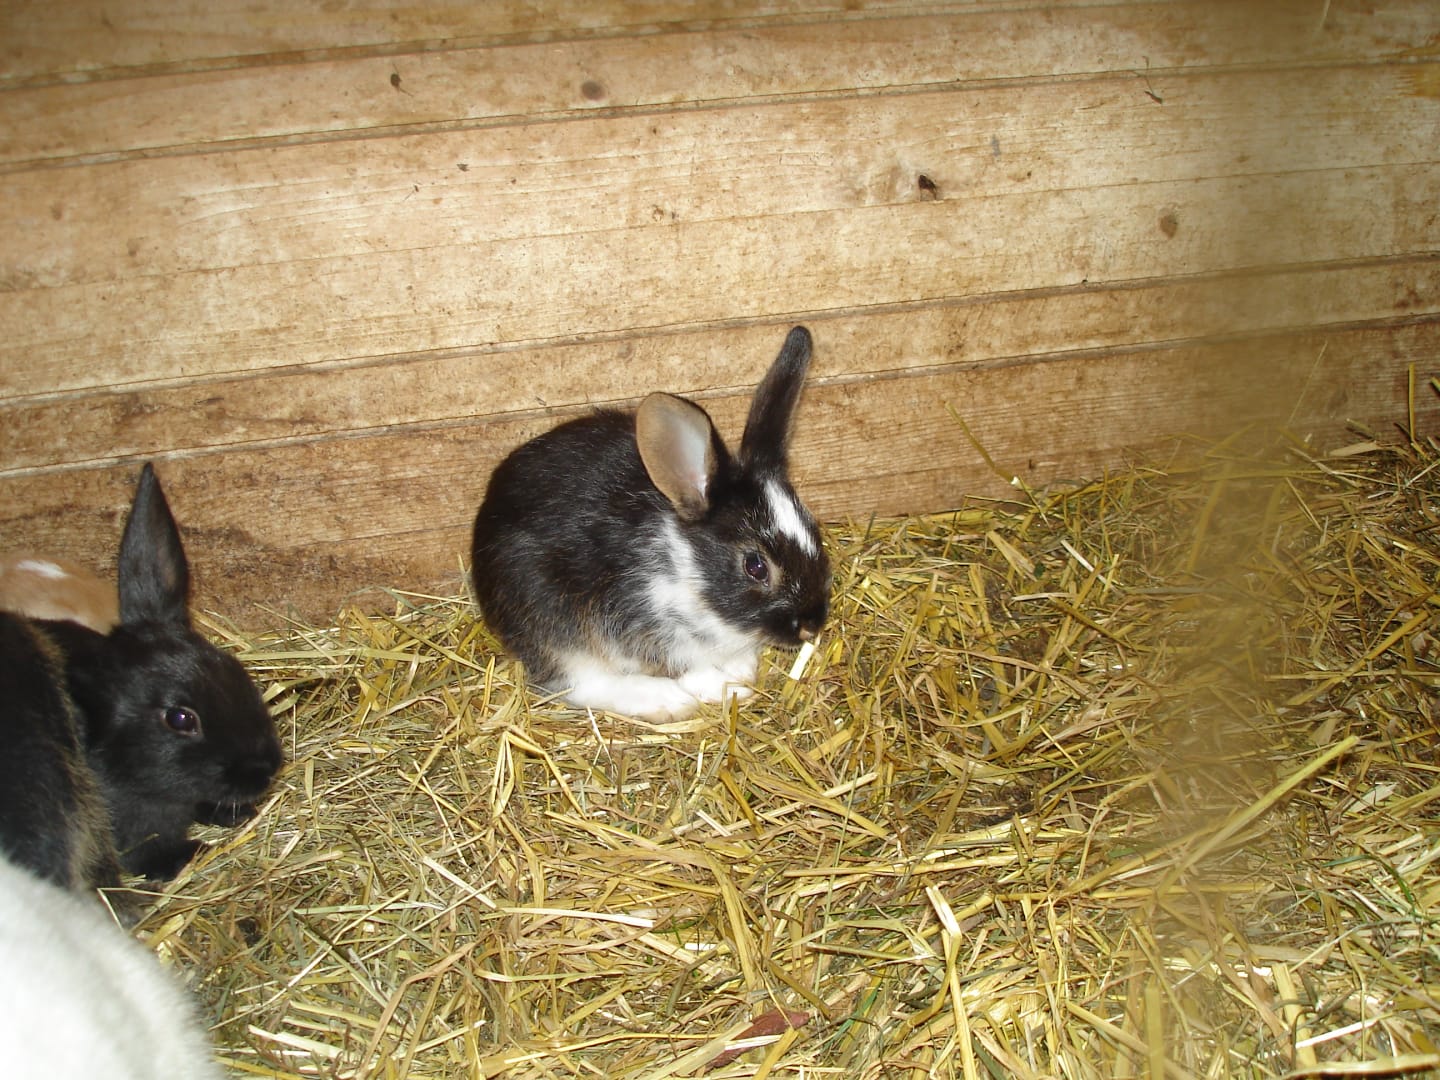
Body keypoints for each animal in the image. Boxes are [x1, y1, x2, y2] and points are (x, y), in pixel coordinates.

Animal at [471, 325, 831, 720]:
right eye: (755, 566)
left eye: (815, 531)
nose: (812, 624)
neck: (686, 566)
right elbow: (688, 667)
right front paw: (725, 687)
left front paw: (741, 669)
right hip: (554, 623)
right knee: (580, 683)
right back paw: (665, 700)